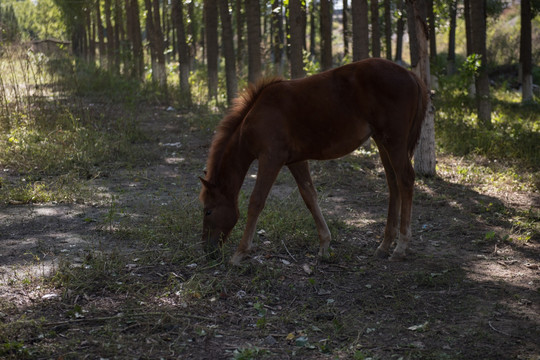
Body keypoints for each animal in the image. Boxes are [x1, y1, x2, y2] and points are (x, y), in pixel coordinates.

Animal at [198, 57, 426, 262]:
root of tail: (411, 76)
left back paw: (401, 246)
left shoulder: (271, 159)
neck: (258, 115)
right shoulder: (295, 161)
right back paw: (385, 245)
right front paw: (324, 245)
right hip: (382, 141)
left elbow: (256, 201)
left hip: (394, 141)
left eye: (208, 211)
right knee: (393, 183)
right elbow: (309, 196)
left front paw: (240, 253)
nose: (207, 250)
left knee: (405, 179)